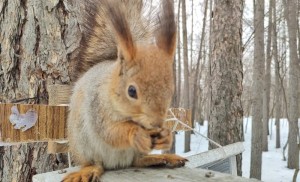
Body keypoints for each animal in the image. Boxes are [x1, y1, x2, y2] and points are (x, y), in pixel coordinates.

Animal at [63, 0, 186, 181]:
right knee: (96, 163)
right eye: (132, 91)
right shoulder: (97, 107)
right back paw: (89, 170)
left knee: (137, 161)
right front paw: (136, 134)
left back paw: (160, 157)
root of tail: (117, 164)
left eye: (171, 91)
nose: (156, 123)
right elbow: (110, 131)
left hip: (133, 154)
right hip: (83, 143)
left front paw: (166, 136)